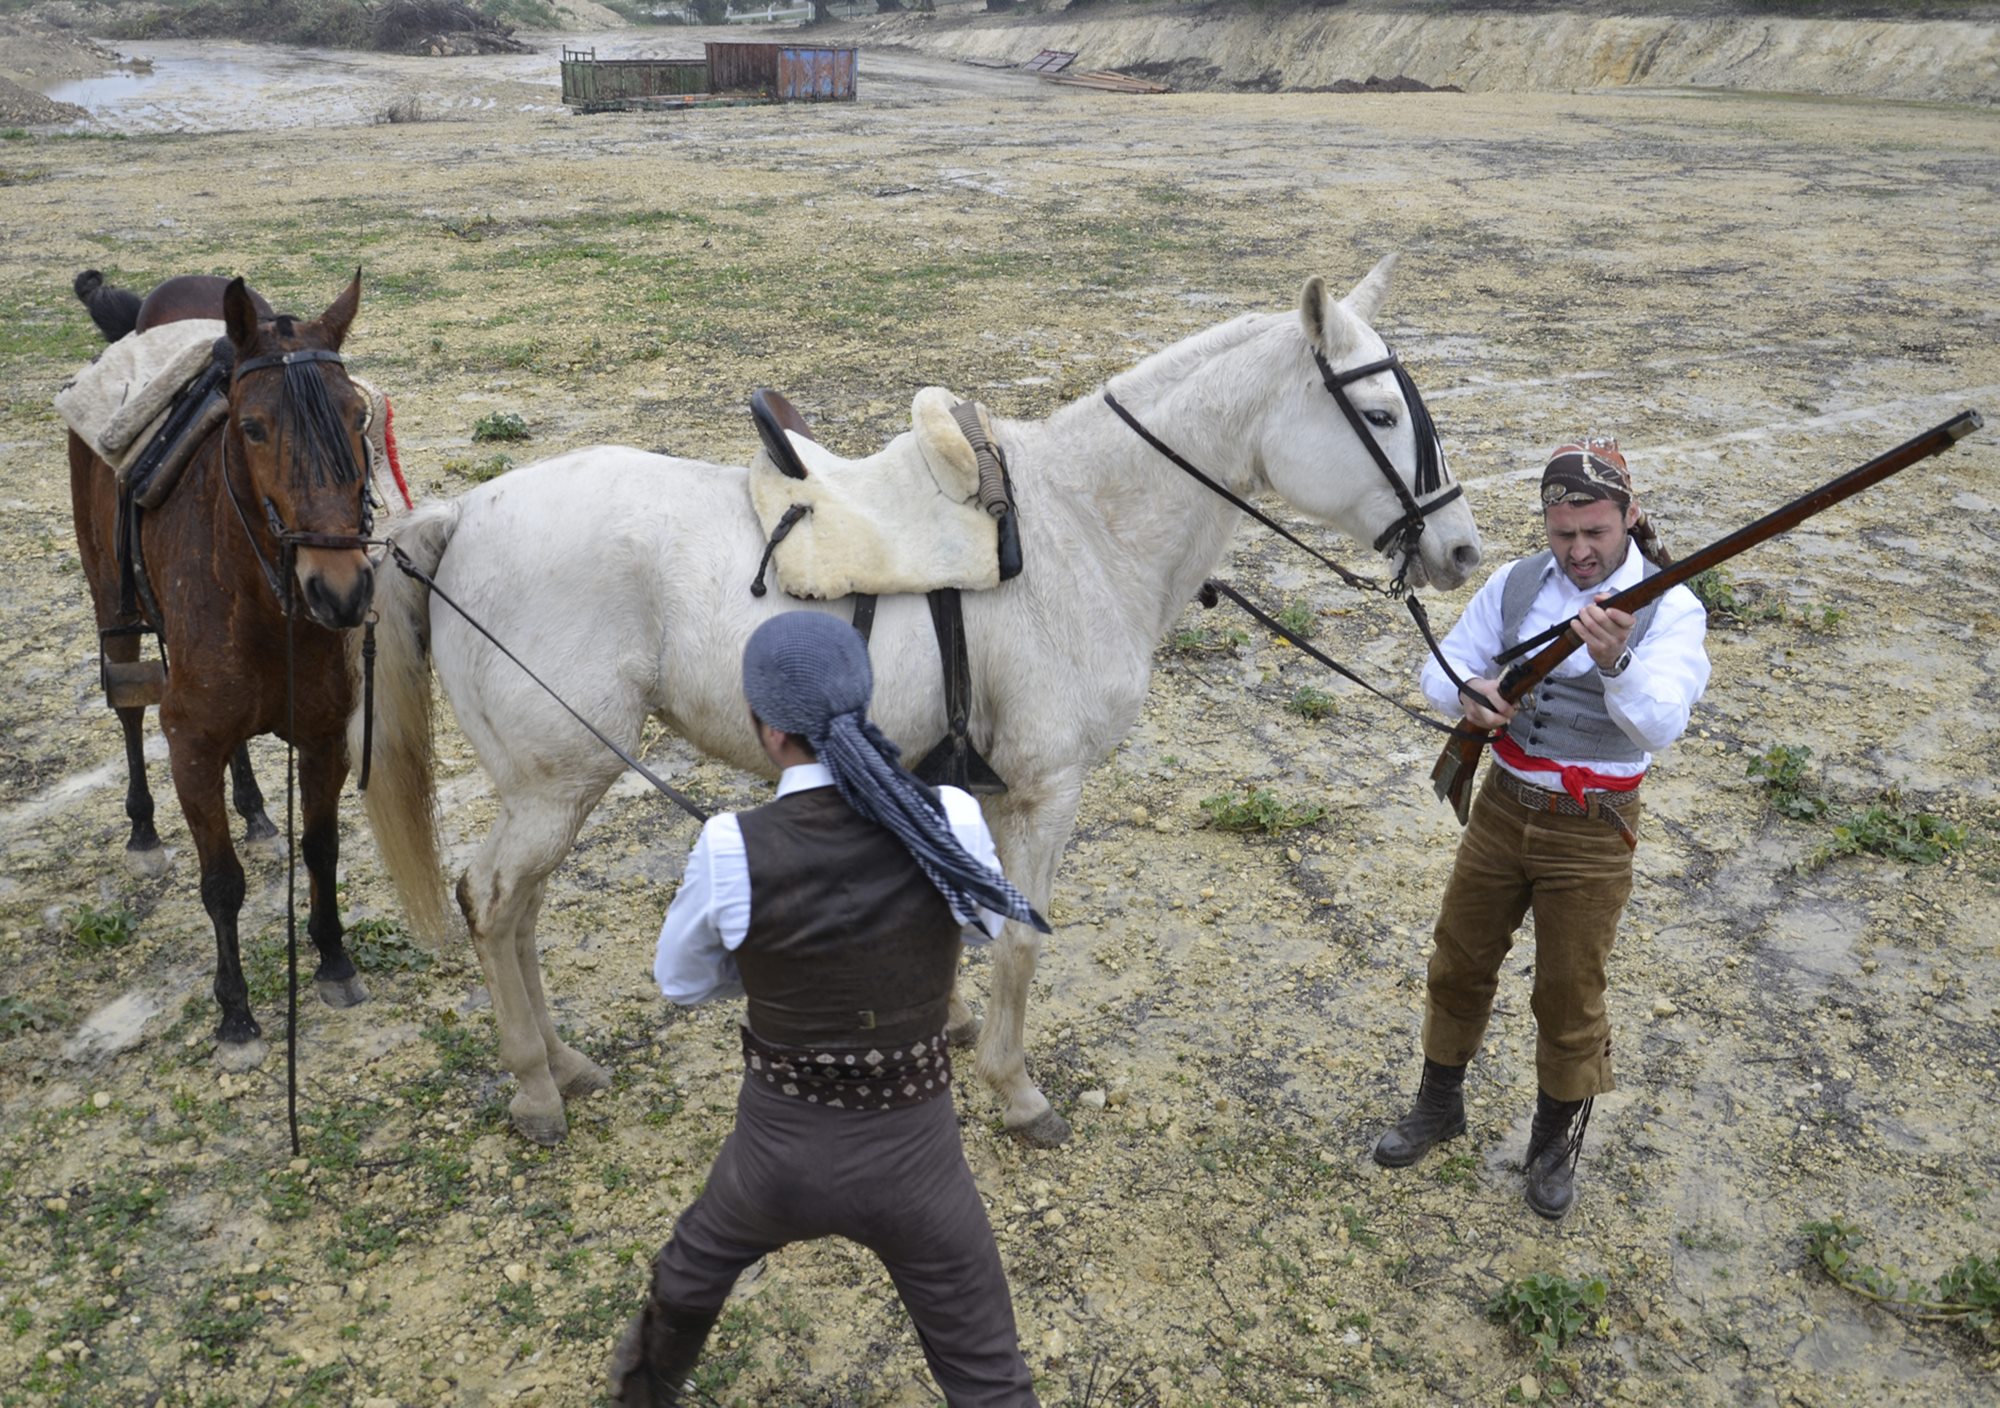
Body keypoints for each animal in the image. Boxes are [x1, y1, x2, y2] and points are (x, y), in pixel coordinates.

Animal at [70, 276, 380, 1064]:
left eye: (359, 414)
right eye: (253, 428)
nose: (340, 590)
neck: (265, 605)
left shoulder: (325, 737)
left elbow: (322, 847)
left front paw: (333, 959)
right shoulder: (190, 743)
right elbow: (220, 883)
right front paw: (235, 1014)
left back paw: (256, 810)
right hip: (110, 605)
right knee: (128, 708)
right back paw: (144, 834)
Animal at [364, 262, 1488, 1144]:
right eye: (1379, 415)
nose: (1461, 549)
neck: (1085, 522)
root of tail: (462, 517)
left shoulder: (976, 785)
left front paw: (953, 1032)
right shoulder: (1046, 788)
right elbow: (1023, 939)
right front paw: (1016, 1092)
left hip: (552, 787)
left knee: (514, 912)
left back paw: (564, 1065)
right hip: (558, 783)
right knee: (494, 901)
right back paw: (533, 1089)